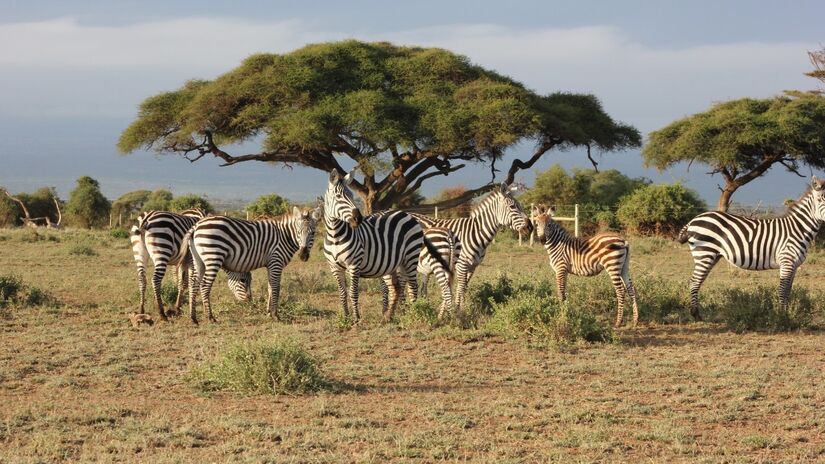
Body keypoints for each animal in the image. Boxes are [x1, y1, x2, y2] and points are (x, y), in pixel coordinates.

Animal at [186, 206, 320, 324]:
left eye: (313, 233)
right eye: (298, 232)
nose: (303, 255)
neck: (285, 236)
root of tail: (197, 225)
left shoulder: (270, 264)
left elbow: (270, 287)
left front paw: (268, 312)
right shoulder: (276, 261)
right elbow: (276, 288)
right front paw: (275, 315)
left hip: (199, 260)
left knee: (193, 283)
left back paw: (193, 318)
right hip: (213, 256)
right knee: (205, 285)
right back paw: (210, 317)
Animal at [322, 170, 451, 322]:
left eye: (352, 196)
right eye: (338, 196)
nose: (358, 219)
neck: (335, 236)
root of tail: (407, 214)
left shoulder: (354, 265)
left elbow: (353, 292)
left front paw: (356, 319)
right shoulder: (334, 267)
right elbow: (342, 293)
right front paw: (346, 317)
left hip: (410, 257)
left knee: (413, 286)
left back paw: (414, 314)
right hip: (393, 263)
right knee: (396, 288)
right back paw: (389, 316)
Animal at [678, 176, 825, 320]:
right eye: (819, 200)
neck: (798, 229)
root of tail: (693, 220)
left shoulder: (794, 265)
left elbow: (788, 290)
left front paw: (786, 313)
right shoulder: (787, 261)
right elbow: (782, 290)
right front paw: (781, 316)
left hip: (712, 256)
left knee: (698, 280)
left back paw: (696, 313)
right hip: (704, 253)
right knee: (694, 281)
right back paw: (695, 314)